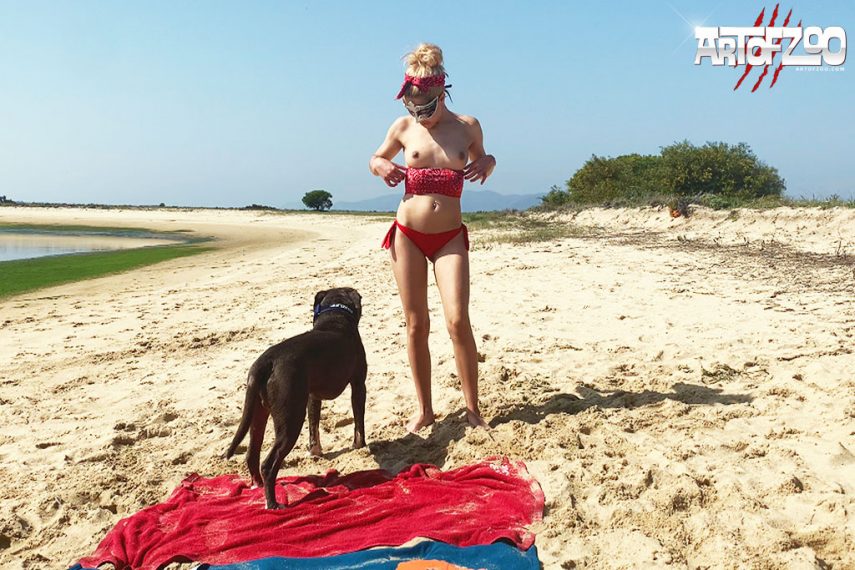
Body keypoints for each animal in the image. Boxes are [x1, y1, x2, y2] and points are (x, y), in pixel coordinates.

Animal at [225, 287, 366, 509]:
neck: (335, 316)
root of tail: (266, 361)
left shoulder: (312, 396)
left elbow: (314, 426)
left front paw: (316, 452)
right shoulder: (359, 384)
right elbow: (359, 422)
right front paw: (360, 446)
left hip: (259, 412)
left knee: (251, 454)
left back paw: (257, 485)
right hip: (289, 419)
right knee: (268, 464)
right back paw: (272, 503)